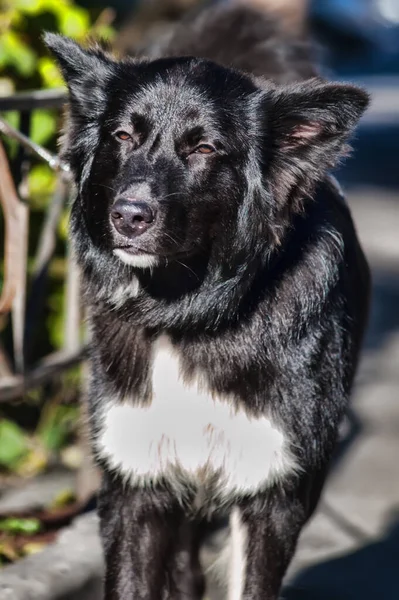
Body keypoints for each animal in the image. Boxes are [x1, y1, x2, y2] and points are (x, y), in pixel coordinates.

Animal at [45, 5, 370, 600]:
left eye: (204, 148)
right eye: (121, 136)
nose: (128, 215)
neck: (190, 313)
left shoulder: (273, 494)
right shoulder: (135, 485)